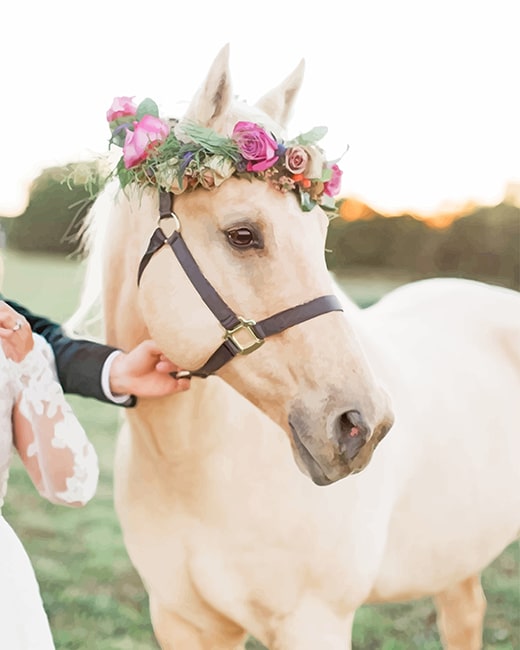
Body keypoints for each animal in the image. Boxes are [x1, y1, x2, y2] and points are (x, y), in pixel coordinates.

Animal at [73, 45, 520, 649]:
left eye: (320, 239)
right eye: (243, 235)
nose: (363, 425)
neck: (195, 468)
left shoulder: (314, 621)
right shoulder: (182, 620)